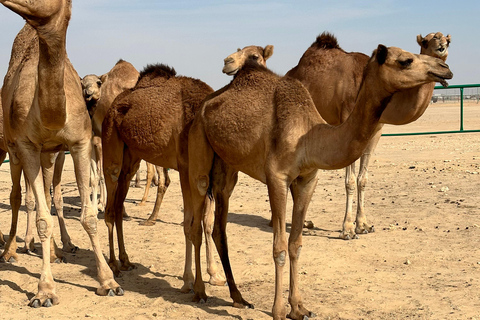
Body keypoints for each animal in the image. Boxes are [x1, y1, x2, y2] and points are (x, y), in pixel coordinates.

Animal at [0, 0, 120, 308]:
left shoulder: (79, 144)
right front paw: (44, 291)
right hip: (13, 150)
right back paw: (10, 251)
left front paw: (108, 281)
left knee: (46, 191)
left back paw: (56, 251)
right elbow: (43, 218)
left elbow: (88, 216)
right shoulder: (27, 146)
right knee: (17, 197)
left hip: (51, 154)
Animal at [284, 31, 452, 239]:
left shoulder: (375, 130)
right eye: (428, 41)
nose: (444, 66)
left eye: (448, 40)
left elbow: (362, 179)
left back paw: (305, 221)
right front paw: (347, 229)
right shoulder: (347, 121)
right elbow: (349, 180)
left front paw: (363, 225)